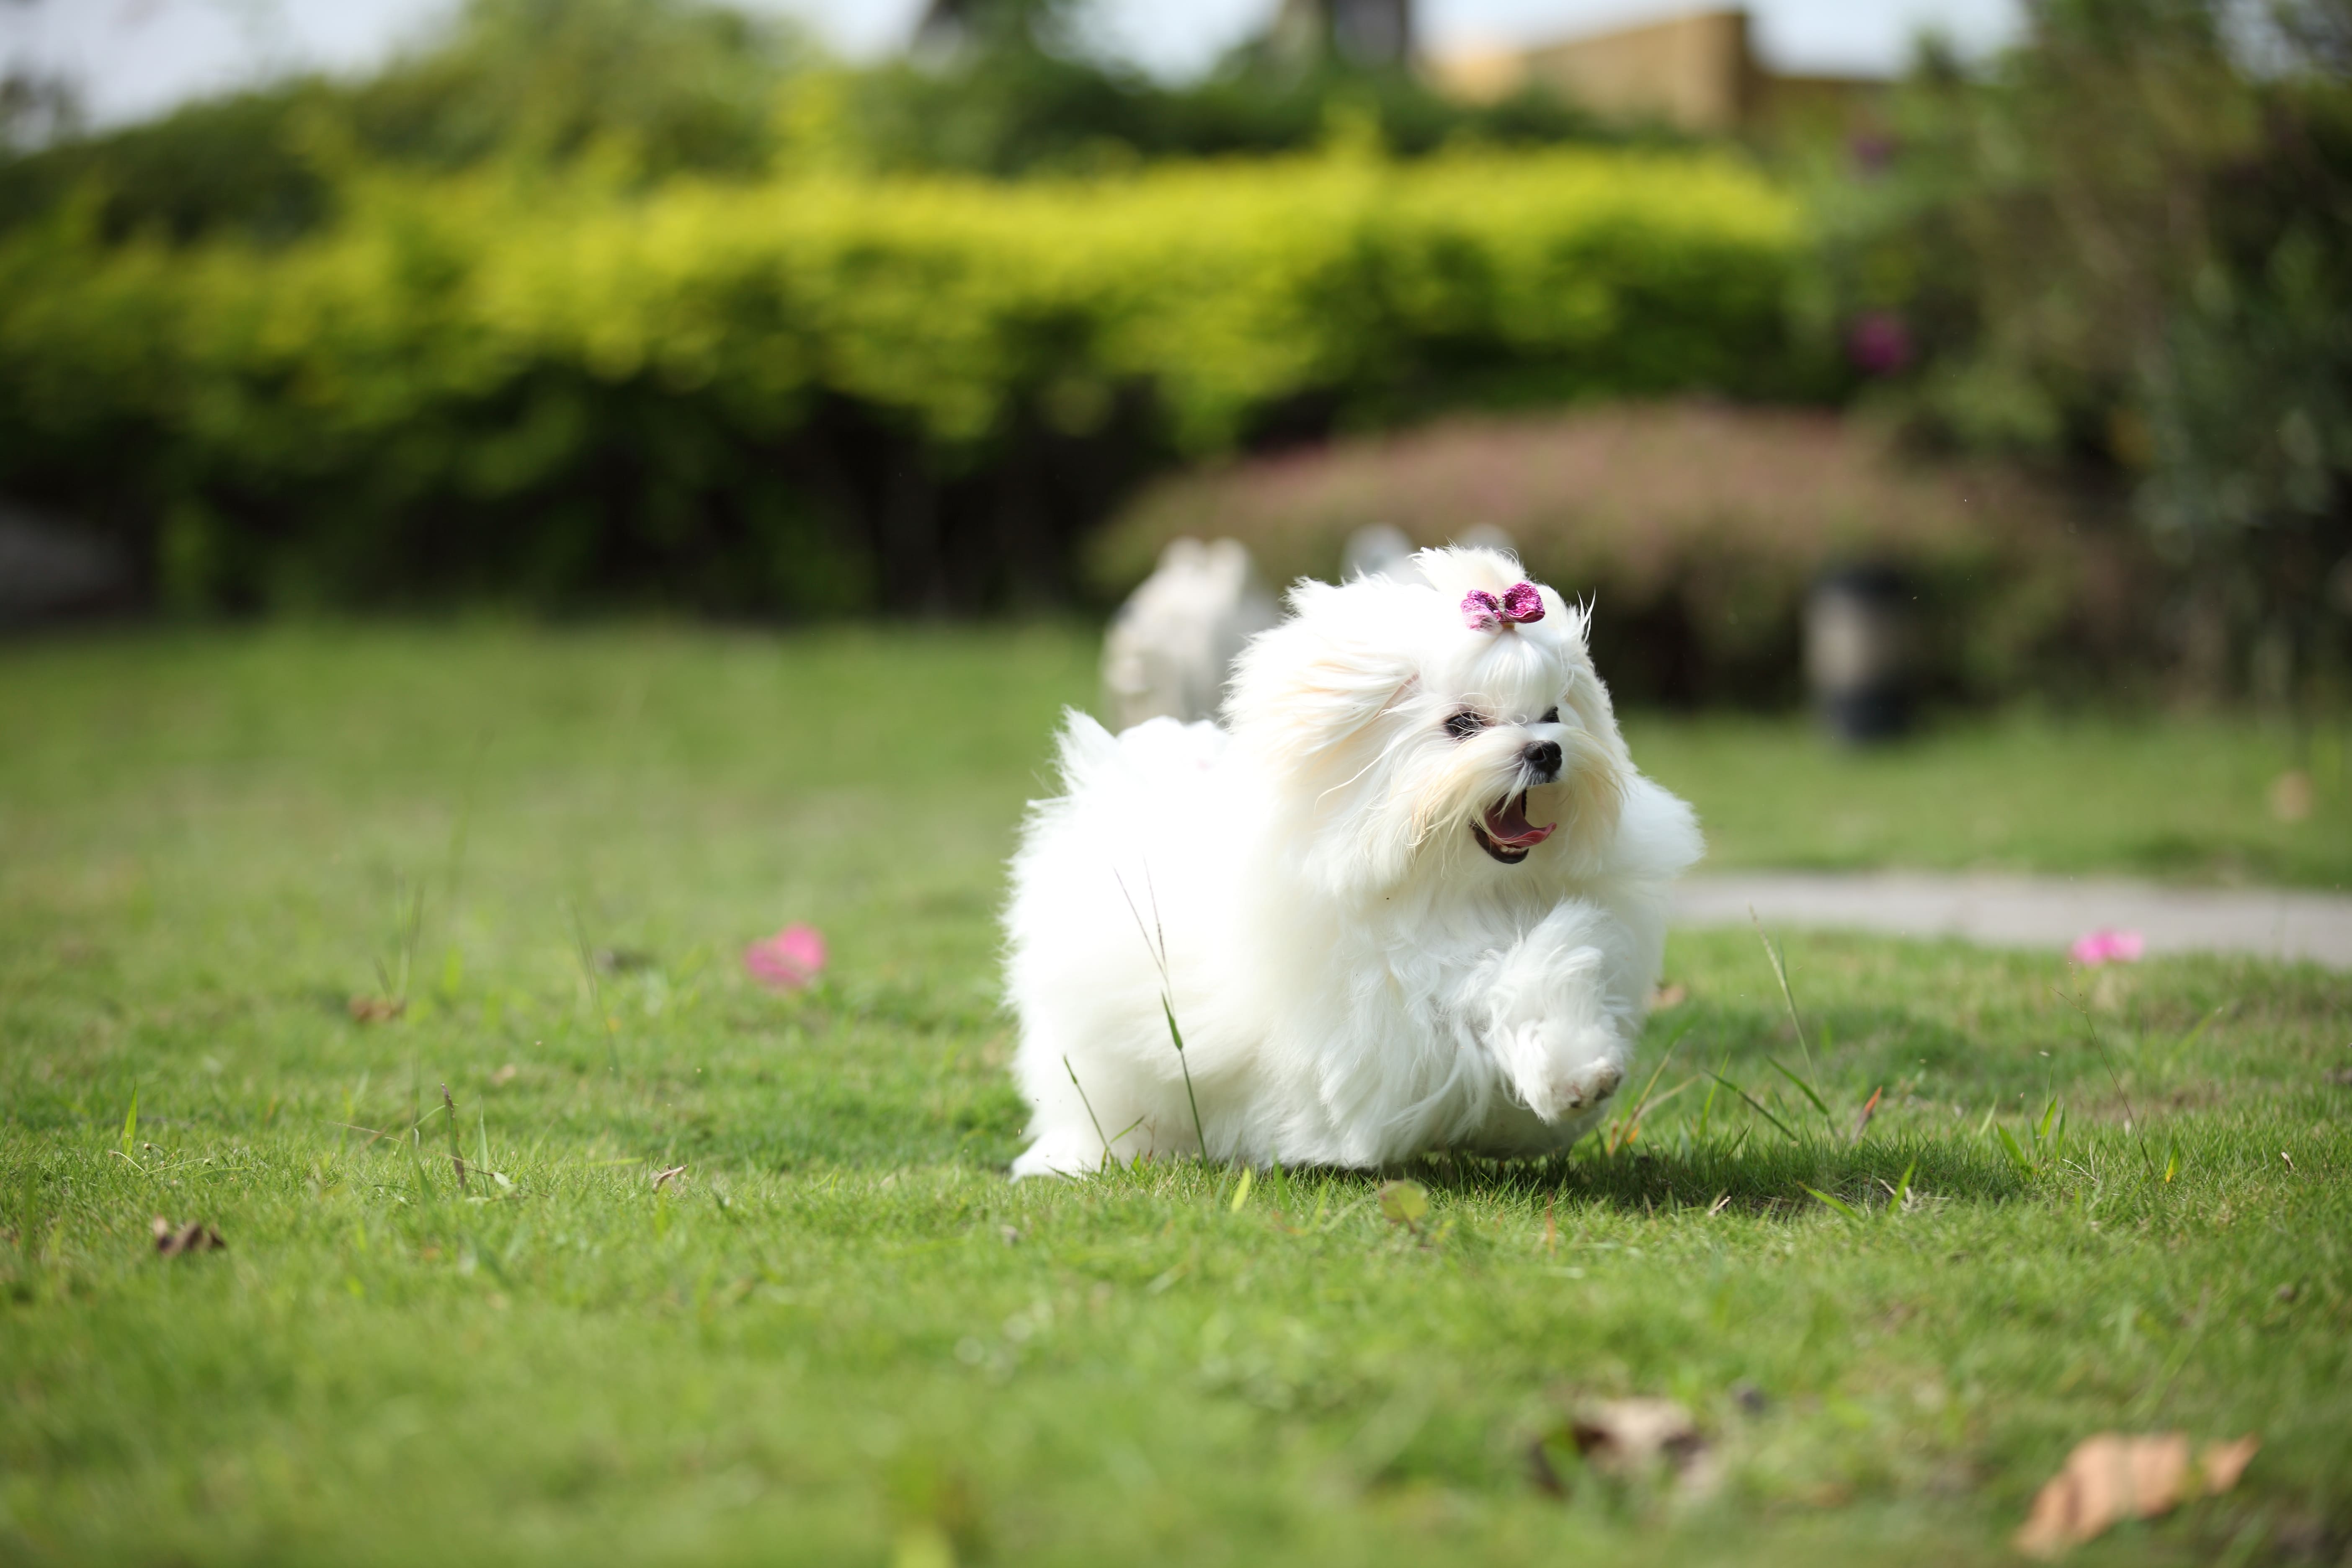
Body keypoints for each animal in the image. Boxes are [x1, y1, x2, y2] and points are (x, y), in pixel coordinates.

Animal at [992, 545, 1693, 1171]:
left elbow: (1547, 967)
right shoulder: (1391, 1018)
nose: (1546, 751)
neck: (1456, 887)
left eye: (1552, 714)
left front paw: (1577, 1076)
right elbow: (1478, 1001)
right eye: (1463, 725)